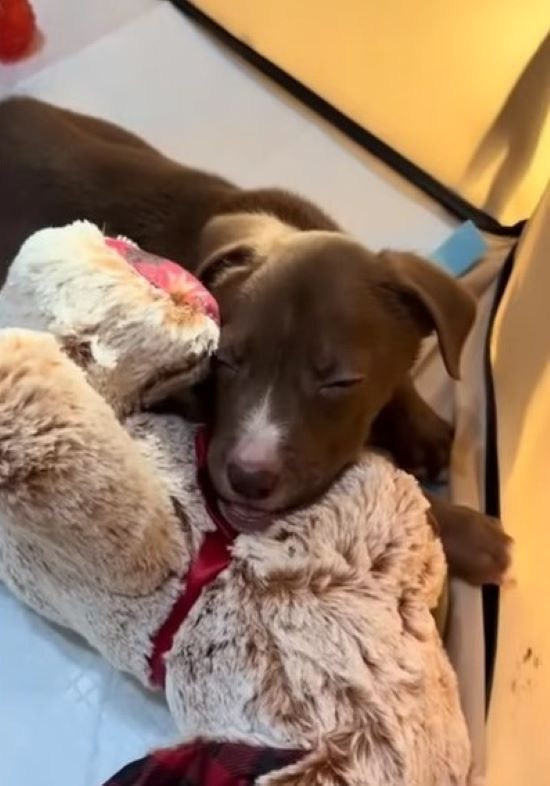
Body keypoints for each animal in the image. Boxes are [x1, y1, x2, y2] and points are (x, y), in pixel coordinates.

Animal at [0, 95, 512, 580]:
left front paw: (423, 432)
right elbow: (399, 490)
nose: (248, 478)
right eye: (224, 361)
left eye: (341, 383)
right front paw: (470, 534)